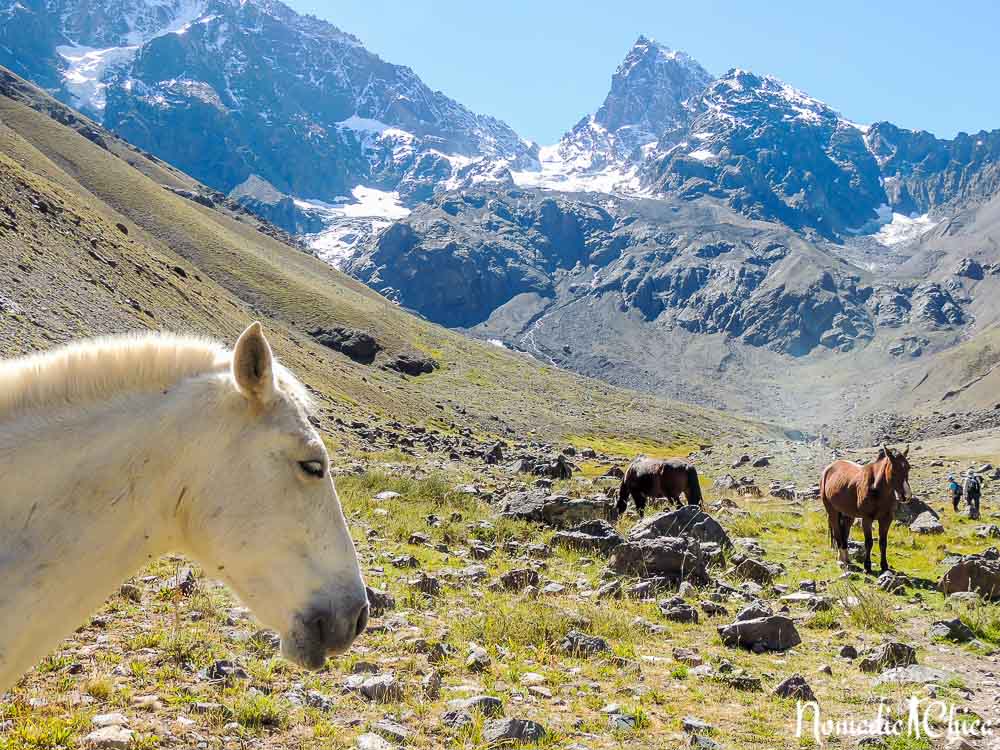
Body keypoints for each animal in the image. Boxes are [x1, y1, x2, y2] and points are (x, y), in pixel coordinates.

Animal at [824, 446, 912, 576]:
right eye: (894, 469)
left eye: (908, 467)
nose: (906, 496)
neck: (877, 489)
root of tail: (829, 468)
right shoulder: (867, 519)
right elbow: (869, 542)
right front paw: (867, 567)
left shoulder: (886, 519)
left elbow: (883, 542)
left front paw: (884, 566)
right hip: (832, 512)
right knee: (837, 532)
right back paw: (841, 558)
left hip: (848, 515)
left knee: (845, 533)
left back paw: (846, 558)